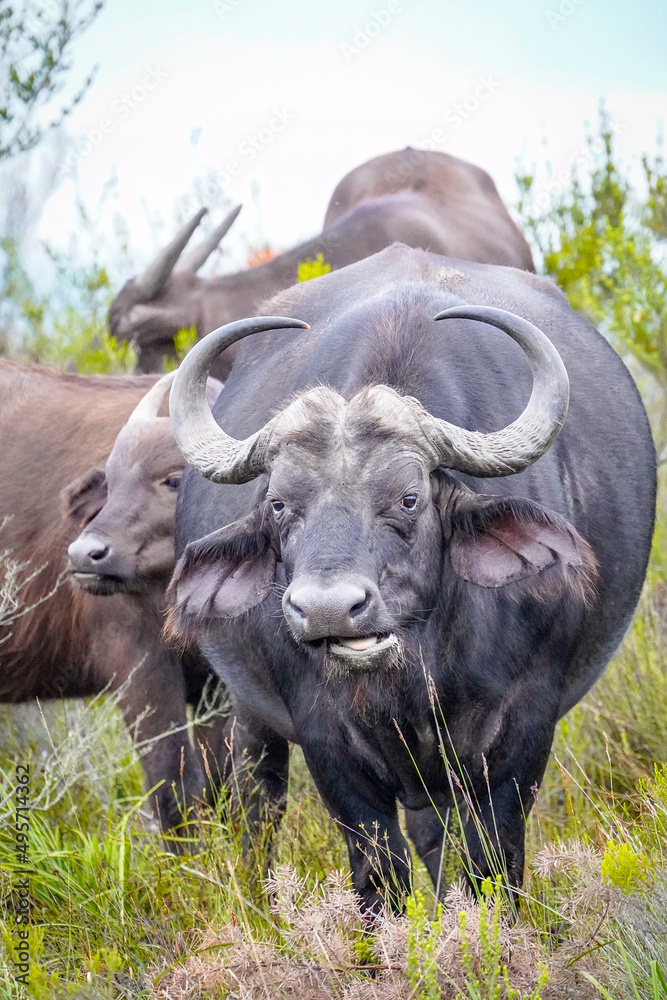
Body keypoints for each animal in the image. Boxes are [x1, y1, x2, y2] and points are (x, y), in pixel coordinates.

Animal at [0, 362, 226, 835]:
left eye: (174, 479)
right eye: (112, 481)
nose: (84, 554)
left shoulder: (222, 686)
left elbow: (226, 785)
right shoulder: (138, 669)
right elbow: (173, 786)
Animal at [166, 245, 655, 910]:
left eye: (407, 498)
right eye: (279, 504)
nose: (326, 609)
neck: (418, 665)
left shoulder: (524, 725)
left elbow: (495, 856)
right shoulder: (327, 743)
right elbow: (378, 872)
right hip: (246, 712)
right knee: (259, 804)